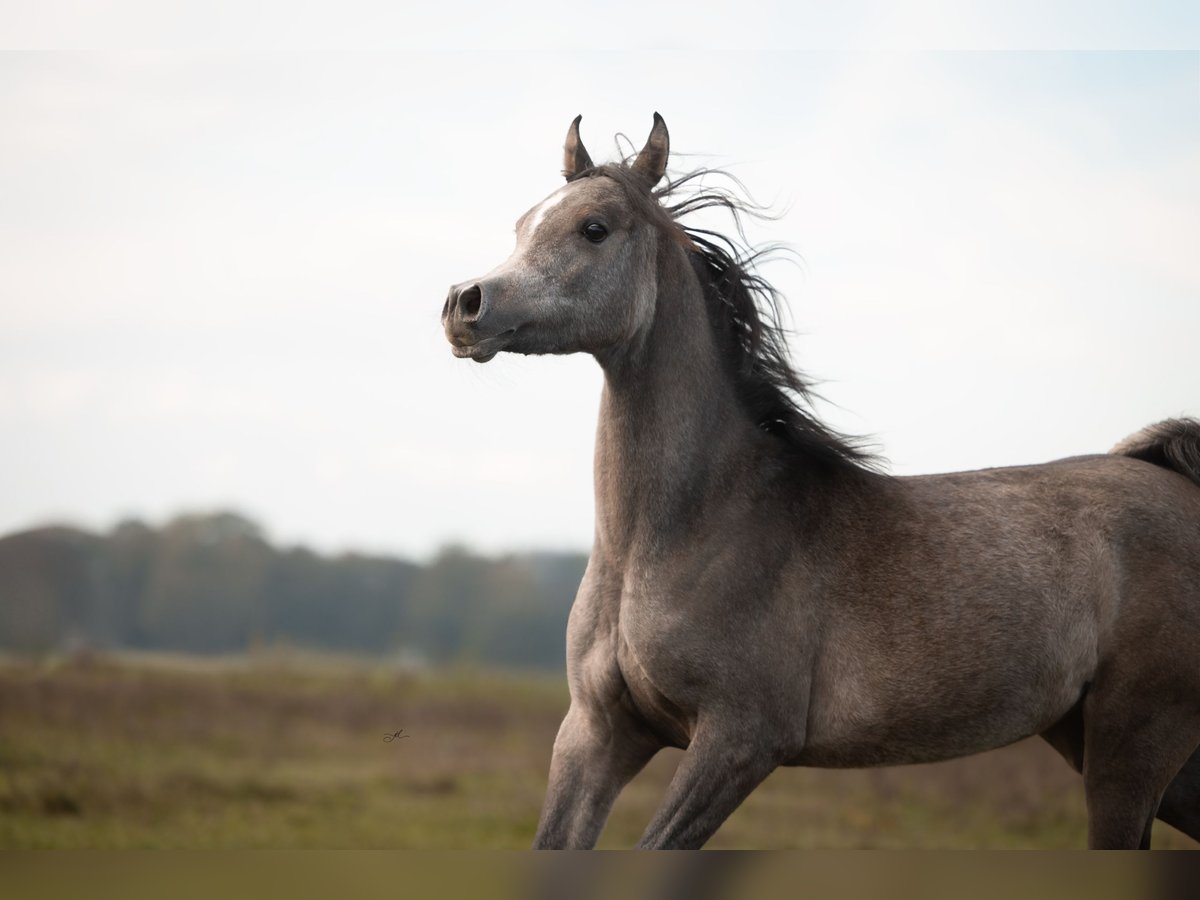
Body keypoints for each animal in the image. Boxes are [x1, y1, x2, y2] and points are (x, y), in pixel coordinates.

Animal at [439, 114, 1200, 854]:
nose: (463, 304)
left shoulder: (741, 740)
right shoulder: (597, 733)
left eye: (593, 228)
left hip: (1132, 745)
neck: (685, 531)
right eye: (522, 223)